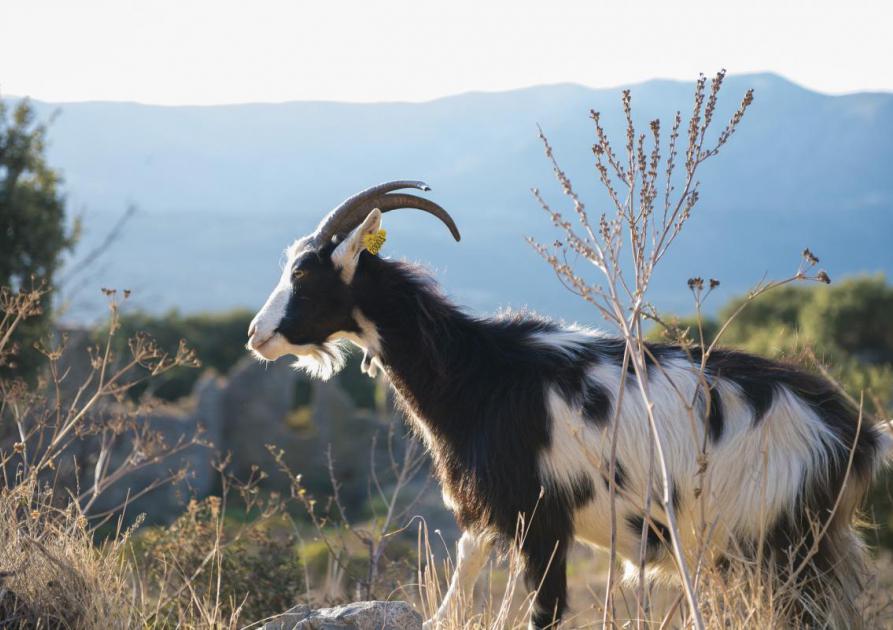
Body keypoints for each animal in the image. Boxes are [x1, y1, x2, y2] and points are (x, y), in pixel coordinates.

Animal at [246, 180, 892, 628]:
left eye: (304, 274)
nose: (255, 335)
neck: (477, 372)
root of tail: (855, 432)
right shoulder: (489, 518)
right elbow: (454, 600)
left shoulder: (542, 521)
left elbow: (546, 613)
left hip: (784, 545)